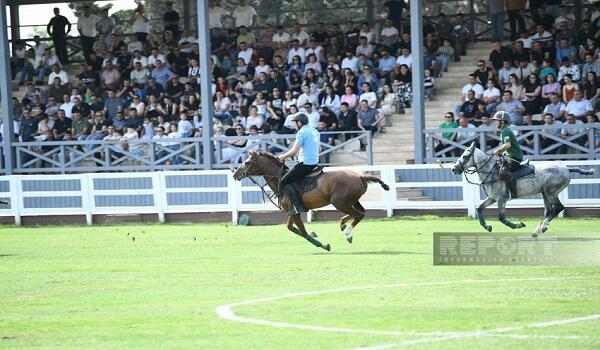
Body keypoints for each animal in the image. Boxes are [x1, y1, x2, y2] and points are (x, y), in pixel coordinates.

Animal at [230, 150, 390, 252]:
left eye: (247, 162)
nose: (235, 174)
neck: (279, 178)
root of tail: (361, 176)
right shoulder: (292, 211)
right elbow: (290, 228)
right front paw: (315, 234)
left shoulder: (294, 211)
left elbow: (304, 233)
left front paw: (324, 245)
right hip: (351, 201)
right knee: (361, 212)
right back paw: (343, 225)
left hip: (339, 202)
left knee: (359, 214)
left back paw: (347, 234)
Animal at [450, 142, 596, 238]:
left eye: (465, 156)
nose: (454, 169)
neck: (491, 171)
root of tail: (566, 168)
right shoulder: (492, 198)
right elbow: (479, 208)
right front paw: (487, 226)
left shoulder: (502, 199)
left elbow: (501, 217)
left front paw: (518, 225)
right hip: (544, 193)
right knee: (549, 210)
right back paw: (539, 229)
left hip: (551, 192)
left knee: (559, 207)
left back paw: (542, 227)